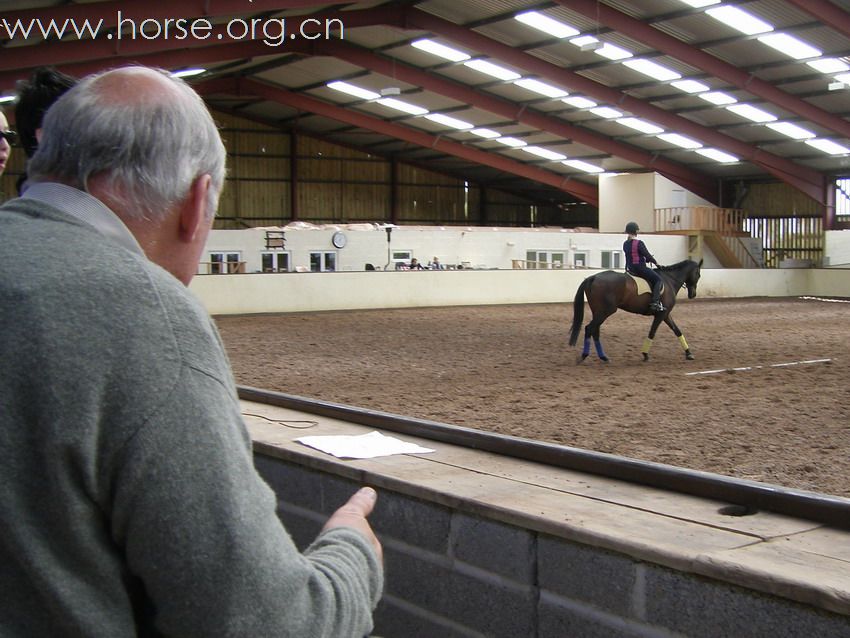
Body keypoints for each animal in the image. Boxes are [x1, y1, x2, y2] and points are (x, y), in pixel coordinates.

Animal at [568, 258, 704, 362]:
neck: (669, 280)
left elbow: (677, 331)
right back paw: (584, 356)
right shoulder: (661, 314)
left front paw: (689, 353)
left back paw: (603, 357)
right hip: (605, 311)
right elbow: (652, 332)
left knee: (595, 330)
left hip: (598, 311)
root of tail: (593, 278)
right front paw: (645, 354)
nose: (693, 294)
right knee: (589, 328)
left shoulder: (665, 314)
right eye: (698, 274)